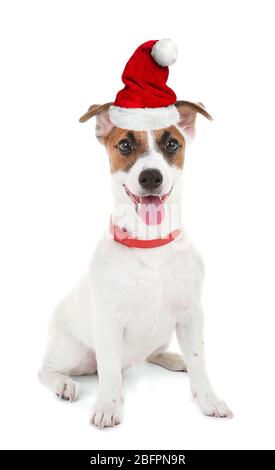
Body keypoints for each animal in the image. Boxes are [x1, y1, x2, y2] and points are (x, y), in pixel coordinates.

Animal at [38, 39, 233, 430]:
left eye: (172, 144)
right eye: (125, 145)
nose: (151, 177)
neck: (150, 243)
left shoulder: (191, 315)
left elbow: (200, 363)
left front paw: (208, 399)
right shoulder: (108, 322)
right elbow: (110, 373)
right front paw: (108, 405)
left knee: (153, 354)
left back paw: (174, 359)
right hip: (71, 350)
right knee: (48, 369)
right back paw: (64, 383)